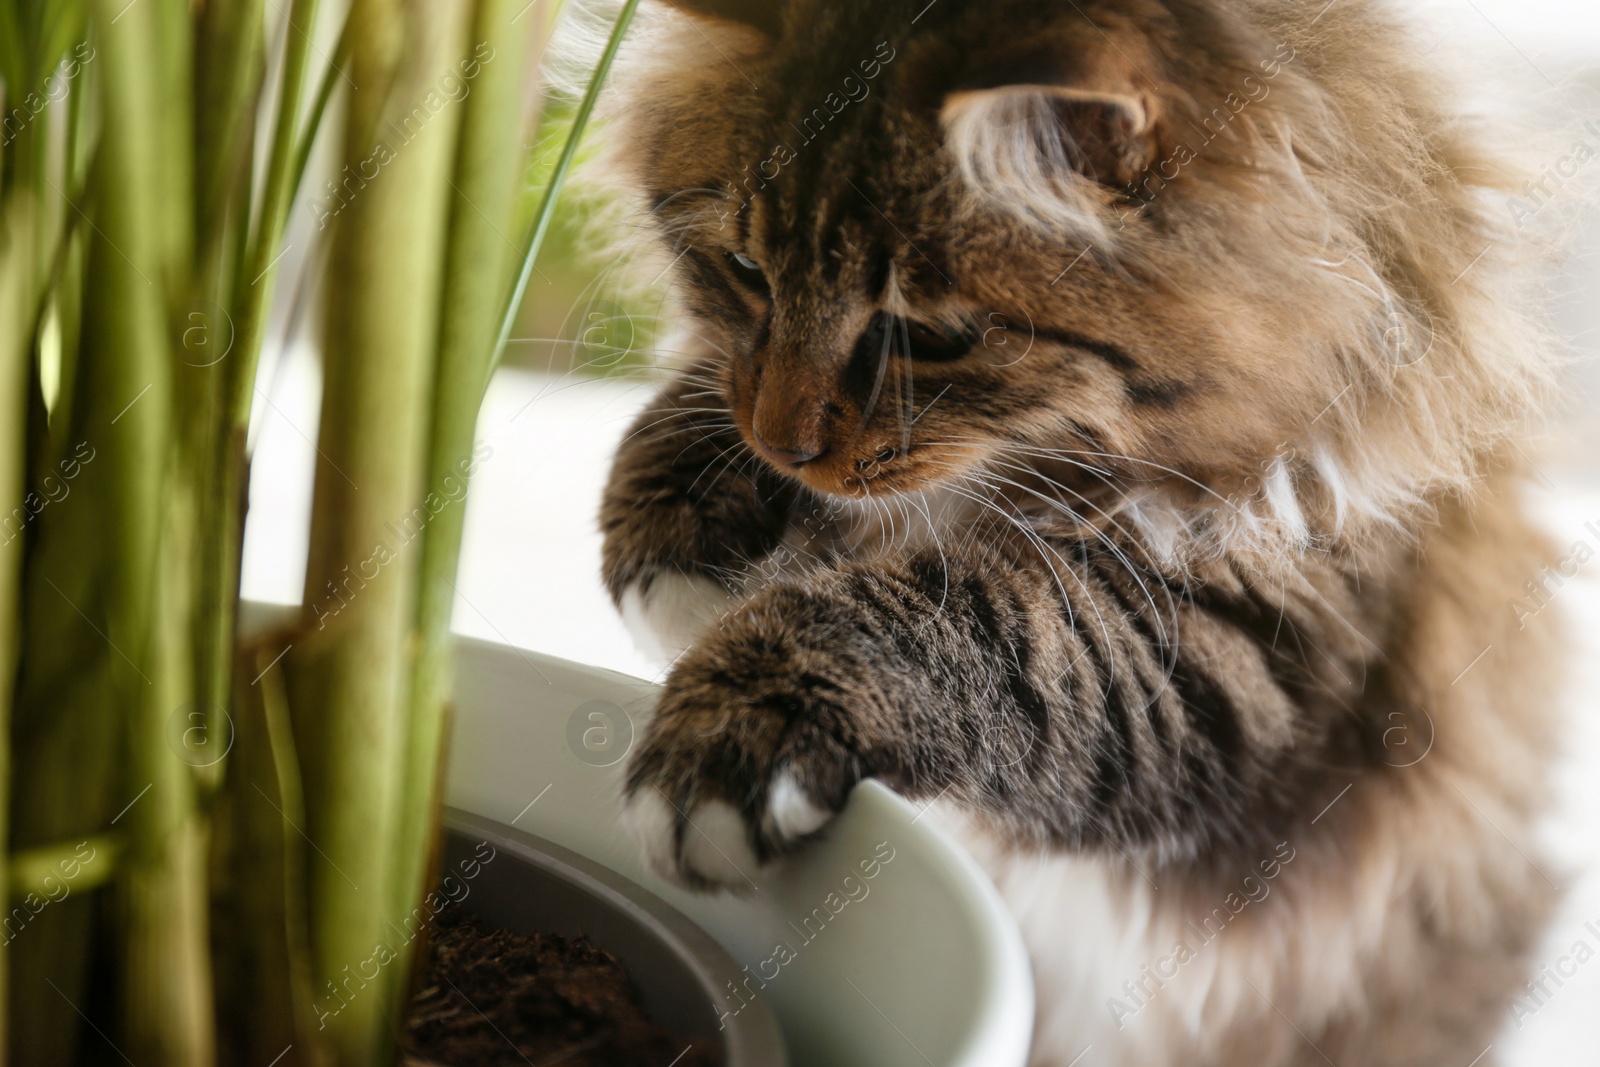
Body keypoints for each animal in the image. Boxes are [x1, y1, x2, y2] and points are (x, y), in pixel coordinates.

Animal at [588, 0, 1561, 1062]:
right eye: (745, 271)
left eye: (928, 338)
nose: (785, 445)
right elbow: (690, 405)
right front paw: (683, 552)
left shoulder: (1236, 631)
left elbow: (963, 626)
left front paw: (724, 733)